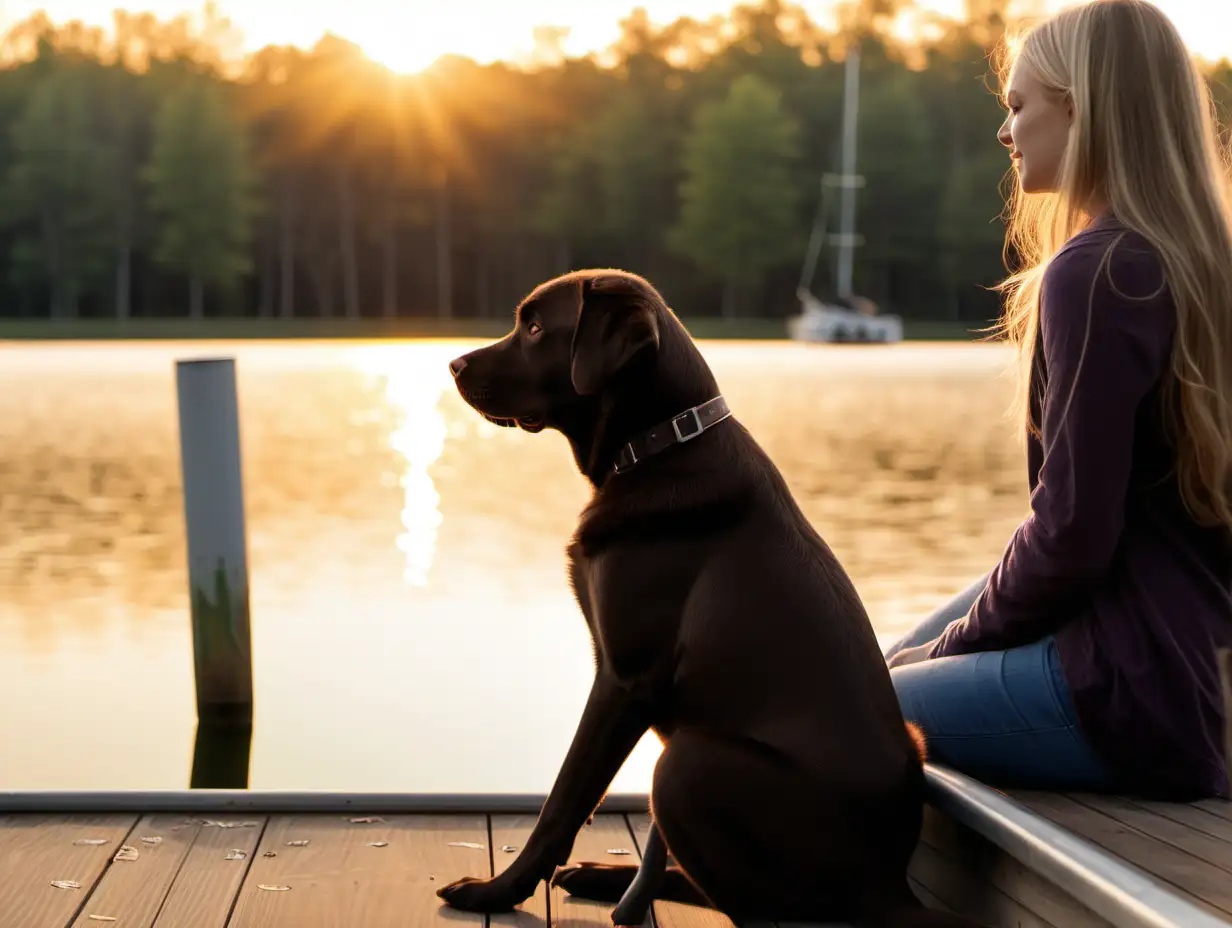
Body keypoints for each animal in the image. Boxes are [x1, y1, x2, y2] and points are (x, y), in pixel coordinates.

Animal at [438, 269, 975, 926]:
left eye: (536, 327)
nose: (454, 364)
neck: (658, 446)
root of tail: (889, 883)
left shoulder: (624, 678)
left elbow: (563, 800)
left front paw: (496, 891)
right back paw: (605, 878)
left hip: (685, 764)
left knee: (760, 906)